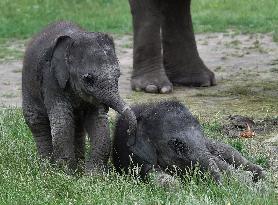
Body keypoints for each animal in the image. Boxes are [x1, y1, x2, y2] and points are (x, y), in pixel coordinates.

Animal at [22, 20, 137, 172]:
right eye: (88, 79)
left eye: (118, 76)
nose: (130, 133)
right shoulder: (51, 79)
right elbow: (63, 120)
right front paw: (65, 173)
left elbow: (97, 119)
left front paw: (93, 174)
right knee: (37, 122)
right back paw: (46, 168)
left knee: (78, 126)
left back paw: (79, 165)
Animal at [112, 101, 264, 184]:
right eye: (177, 145)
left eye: (201, 135)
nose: (219, 185)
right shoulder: (135, 157)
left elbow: (218, 161)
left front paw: (243, 179)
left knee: (229, 151)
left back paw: (260, 174)